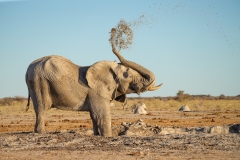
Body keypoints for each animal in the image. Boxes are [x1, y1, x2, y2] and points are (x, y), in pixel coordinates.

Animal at [25, 27, 162, 136]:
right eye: (127, 75)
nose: (113, 31)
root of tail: (28, 69)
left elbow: (94, 116)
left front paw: (97, 135)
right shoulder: (96, 93)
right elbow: (101, 115)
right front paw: (108, 136)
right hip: (38, 83)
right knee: (42, 109)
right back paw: (41, 133)